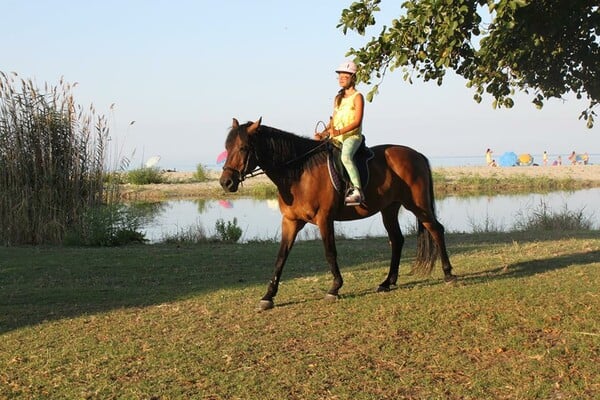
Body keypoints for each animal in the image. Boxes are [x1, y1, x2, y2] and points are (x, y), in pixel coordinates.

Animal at [220, 117, 454, 310]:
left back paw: (448, 273)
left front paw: (334, 288)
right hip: (389, 208)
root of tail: (417, 154)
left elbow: (330, 252)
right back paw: (387, 283)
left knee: (436, 230)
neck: (300, 174)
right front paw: (268, 296)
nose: (226, 182)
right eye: (227, 147)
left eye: (243, 148)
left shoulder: (324, 219)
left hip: (417, 205)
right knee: (397, 240)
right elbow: (281, 257)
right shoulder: (290, 221)